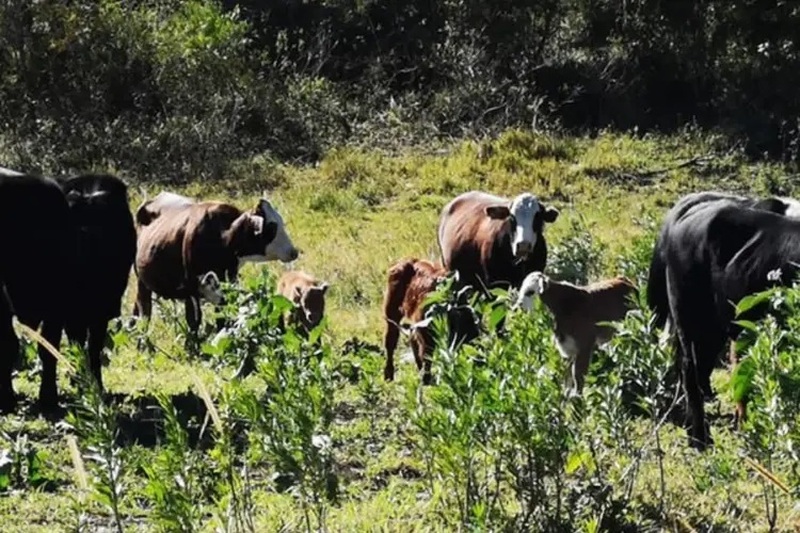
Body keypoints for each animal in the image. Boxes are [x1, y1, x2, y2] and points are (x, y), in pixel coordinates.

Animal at [133, 195, 298, 334]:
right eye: (272, 227)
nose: (294, 252)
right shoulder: (191, 287)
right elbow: (194, 320)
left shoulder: (228, 283)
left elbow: (222, 317)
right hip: (142, 280)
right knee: (145, 313)